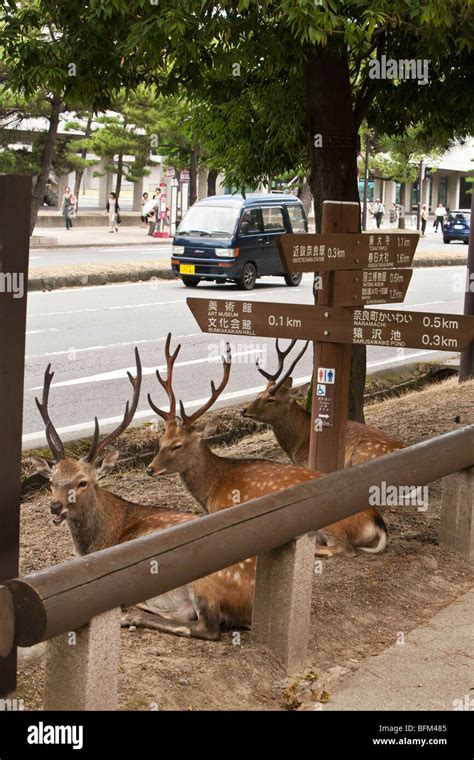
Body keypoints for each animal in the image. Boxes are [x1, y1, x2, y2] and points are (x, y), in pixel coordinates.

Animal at [28, 349, 255, 641]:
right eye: (51, 482)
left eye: (83, 482)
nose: (55, 507)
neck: (102, 539)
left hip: (203, 574)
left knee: (206, 626)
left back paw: (133, 613)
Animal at [145, 334, 388, 558]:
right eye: (160, 442)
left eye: (177, 445)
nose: (150, 469)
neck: (211, 491)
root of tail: (377, 521)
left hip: (329, 518)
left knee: (345, 548)